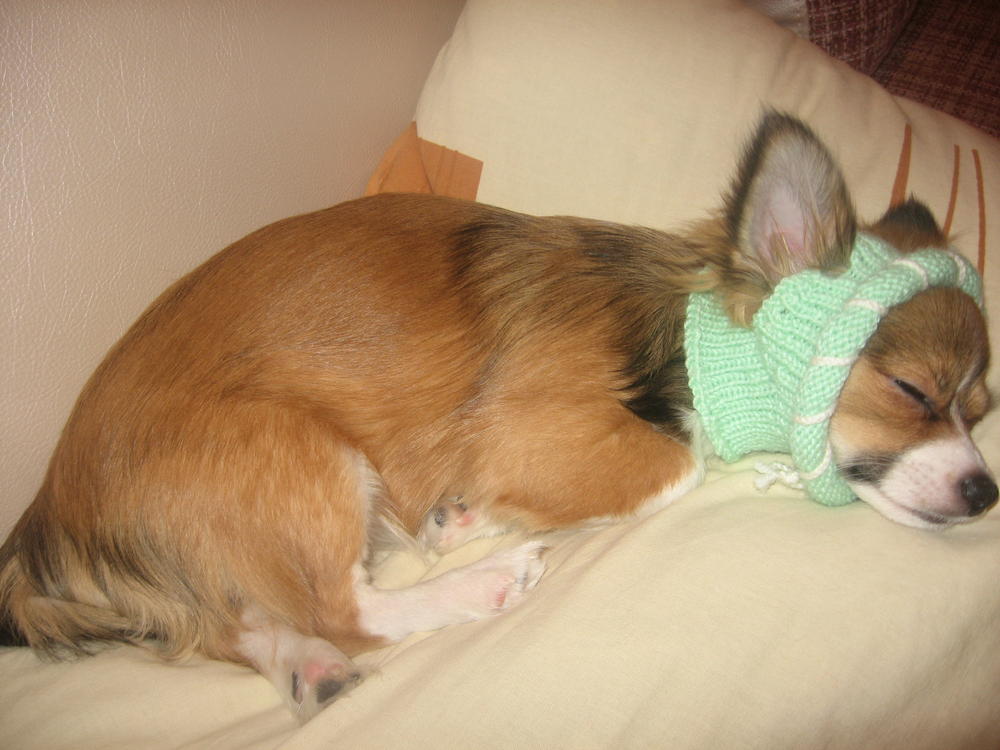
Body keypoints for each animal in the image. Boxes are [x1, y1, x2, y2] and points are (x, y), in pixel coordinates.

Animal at [1, 112, 995, 720]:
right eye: (913, 391)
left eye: (980, 409)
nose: (985, 492)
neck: (676, 326)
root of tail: (48, 517)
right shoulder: (541, 429)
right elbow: (674, 464)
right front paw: (484, 530)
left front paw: (465, 516)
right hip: (302, 452)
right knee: (345, 609)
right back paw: (478, 585)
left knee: (242, 624)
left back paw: (310, 667)